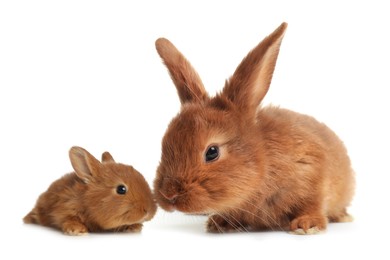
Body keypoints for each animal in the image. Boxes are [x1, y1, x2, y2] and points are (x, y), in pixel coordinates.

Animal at [22, 146, 156, 236]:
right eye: (121, 189)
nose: (148, 211)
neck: (87, 200)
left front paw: (134, 227)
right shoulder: (64, 208)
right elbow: (67, 218)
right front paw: (77, 230)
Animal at [154, 21, 354, 234]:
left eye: (212, 152)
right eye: (164, 144)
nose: (168, 195)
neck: (264, 159)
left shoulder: (313, 172)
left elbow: (312, 203)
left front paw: (307, 225)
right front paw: (219, 222)